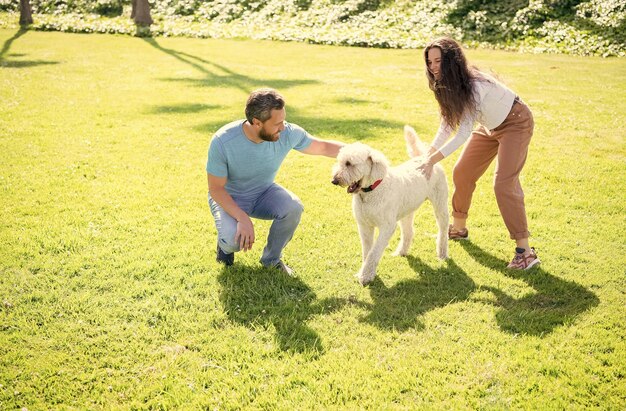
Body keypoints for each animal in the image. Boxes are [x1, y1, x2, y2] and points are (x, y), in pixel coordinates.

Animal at [330, 125, 446, 286]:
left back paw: (442, 253)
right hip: (406, 211)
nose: (334, 180)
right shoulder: (364, 226)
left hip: (440, 204)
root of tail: (424, 158)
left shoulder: (387, 227)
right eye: (340, 162)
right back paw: (402, 251)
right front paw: (364, 271)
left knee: (443, 229)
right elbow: (367, 251)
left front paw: (366, 276)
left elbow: (374, 252)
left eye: (349, 163)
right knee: (409, 232)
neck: (372, 190)